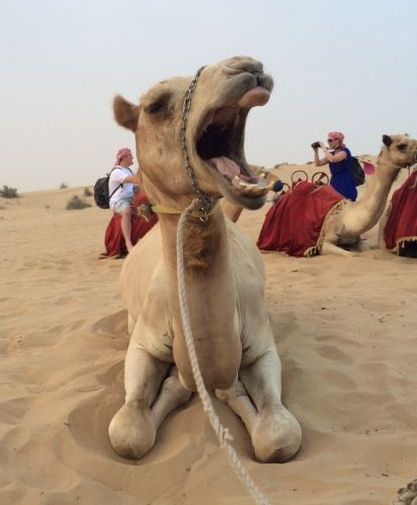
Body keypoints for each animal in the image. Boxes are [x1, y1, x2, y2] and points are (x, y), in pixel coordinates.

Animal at [107, 57, 302, 462]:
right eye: (154, 105)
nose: (246, 66)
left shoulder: (262, 343)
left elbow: (279, 437)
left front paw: (229, 392)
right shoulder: (144, 342)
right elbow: (128, 433)